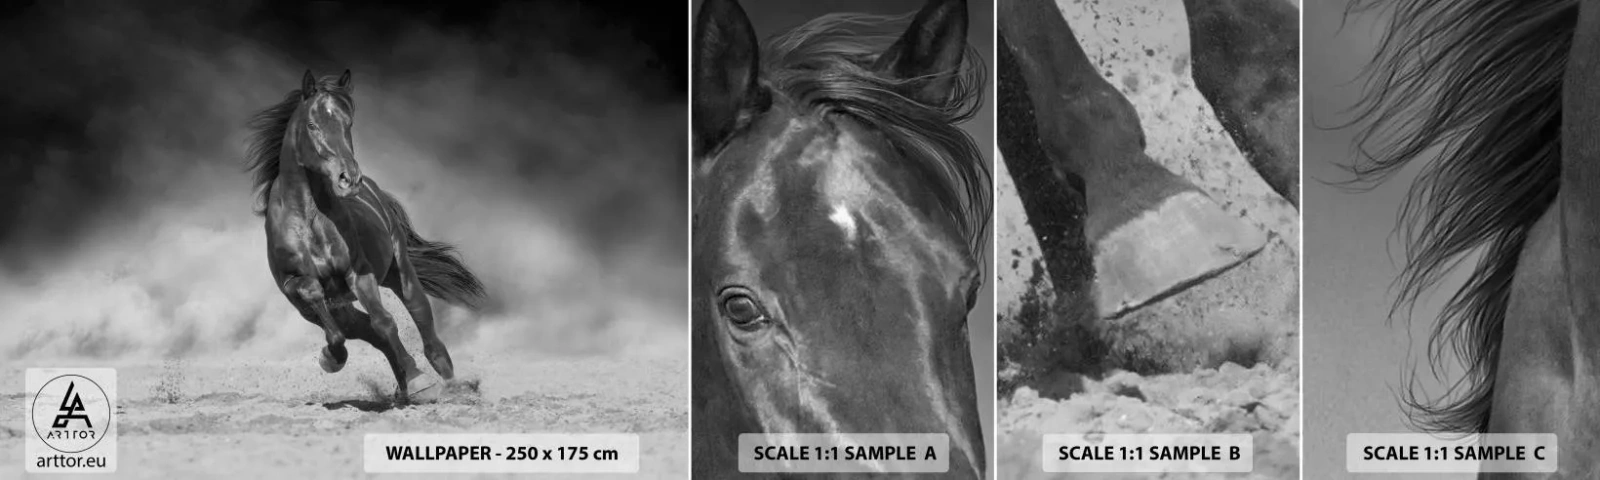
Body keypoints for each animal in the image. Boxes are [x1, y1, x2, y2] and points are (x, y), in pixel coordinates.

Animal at [244, 70, 486, 403]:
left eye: (348, 123)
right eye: (312, 125)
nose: (349, 178)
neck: (309, 219)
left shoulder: (359, 275)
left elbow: (385, 322)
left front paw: (420, 381)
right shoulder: (294, 287)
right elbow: (325, 309)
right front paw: (331, 358)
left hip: (400, 273)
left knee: (421, 321)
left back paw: (450, 385)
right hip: (336, 307)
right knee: (364, 331)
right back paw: (402, 386)